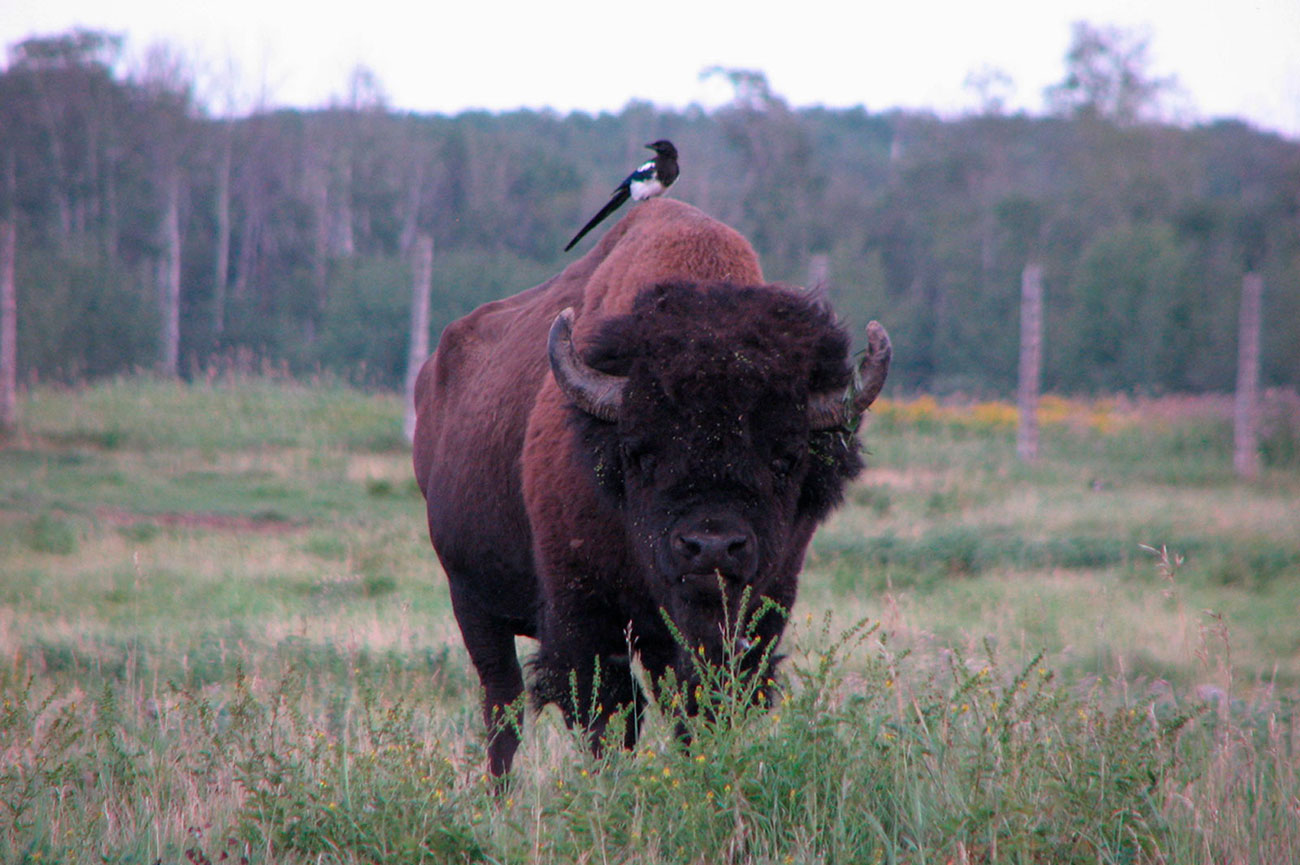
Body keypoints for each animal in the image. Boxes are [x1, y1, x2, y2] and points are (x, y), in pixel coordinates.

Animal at [410, 199, 889, 770]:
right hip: (473, 602)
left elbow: (700, 705)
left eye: (786, 458)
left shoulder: (756, 616)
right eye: (640, 453)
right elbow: (608, 715)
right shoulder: (586, 618)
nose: (711, 547)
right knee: (502, 706)